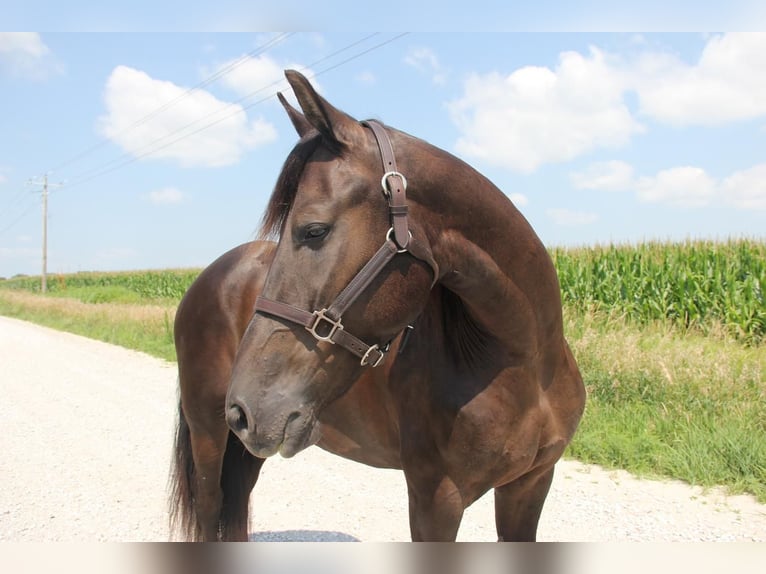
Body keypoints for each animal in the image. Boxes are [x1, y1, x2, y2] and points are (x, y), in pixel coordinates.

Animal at [171, 70, 584, 544]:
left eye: (314, 230)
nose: (244, 408)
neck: (524, 365)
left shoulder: (530, 485)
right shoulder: (435, 501)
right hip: (209, 430)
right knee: (210, 507)